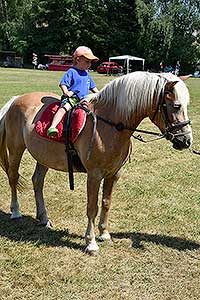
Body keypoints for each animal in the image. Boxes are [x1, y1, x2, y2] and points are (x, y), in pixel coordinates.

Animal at [0, 71, 194, 254]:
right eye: (176, 106)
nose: (186, 141)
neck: (110, 126)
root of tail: (16, 99)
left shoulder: (113, 174)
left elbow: (106, 202)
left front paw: (104, 234)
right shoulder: (94, 175)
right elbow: (92, 207)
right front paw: (91, 243)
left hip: (44, 156)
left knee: (37, 182)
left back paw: (44, 218)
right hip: (16, 149)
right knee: (13, 178)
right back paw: (15, 211)